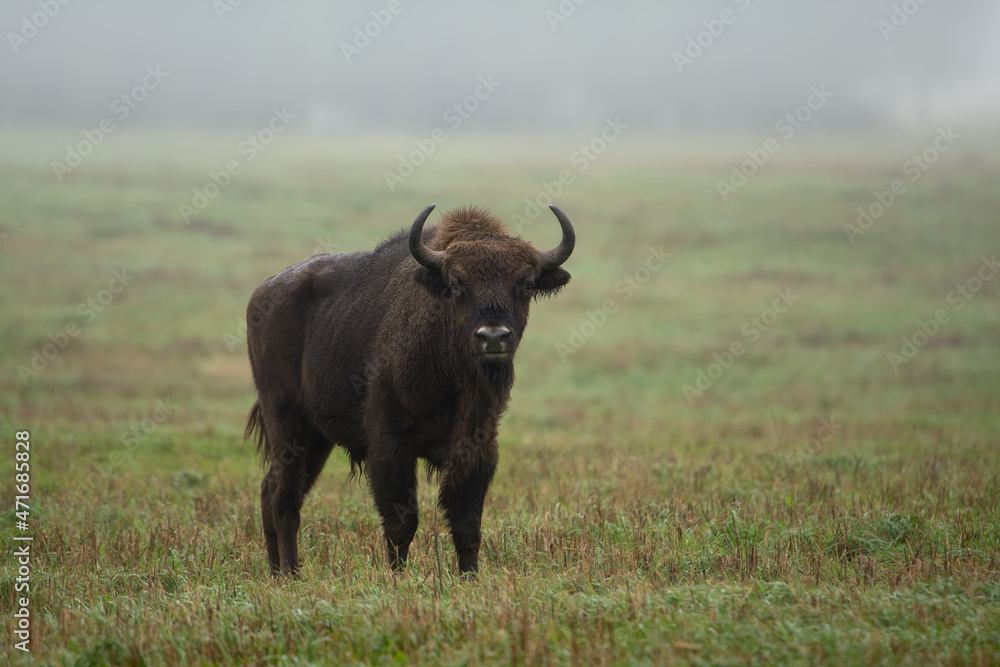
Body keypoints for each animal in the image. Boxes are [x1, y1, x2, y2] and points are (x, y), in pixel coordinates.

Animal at [244, 205, 580, 580]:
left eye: (526, 284)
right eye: (456, 284)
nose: (493, 337)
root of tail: (261, 294)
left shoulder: (478, 449)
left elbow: (466, 524)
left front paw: (469, 578)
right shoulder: (390, 446)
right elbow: (401, 524)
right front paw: (398, 578)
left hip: (317, 439)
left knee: (271, 489)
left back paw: (277, 573)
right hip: (287, 424)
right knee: (285, 498)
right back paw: (292, 574)